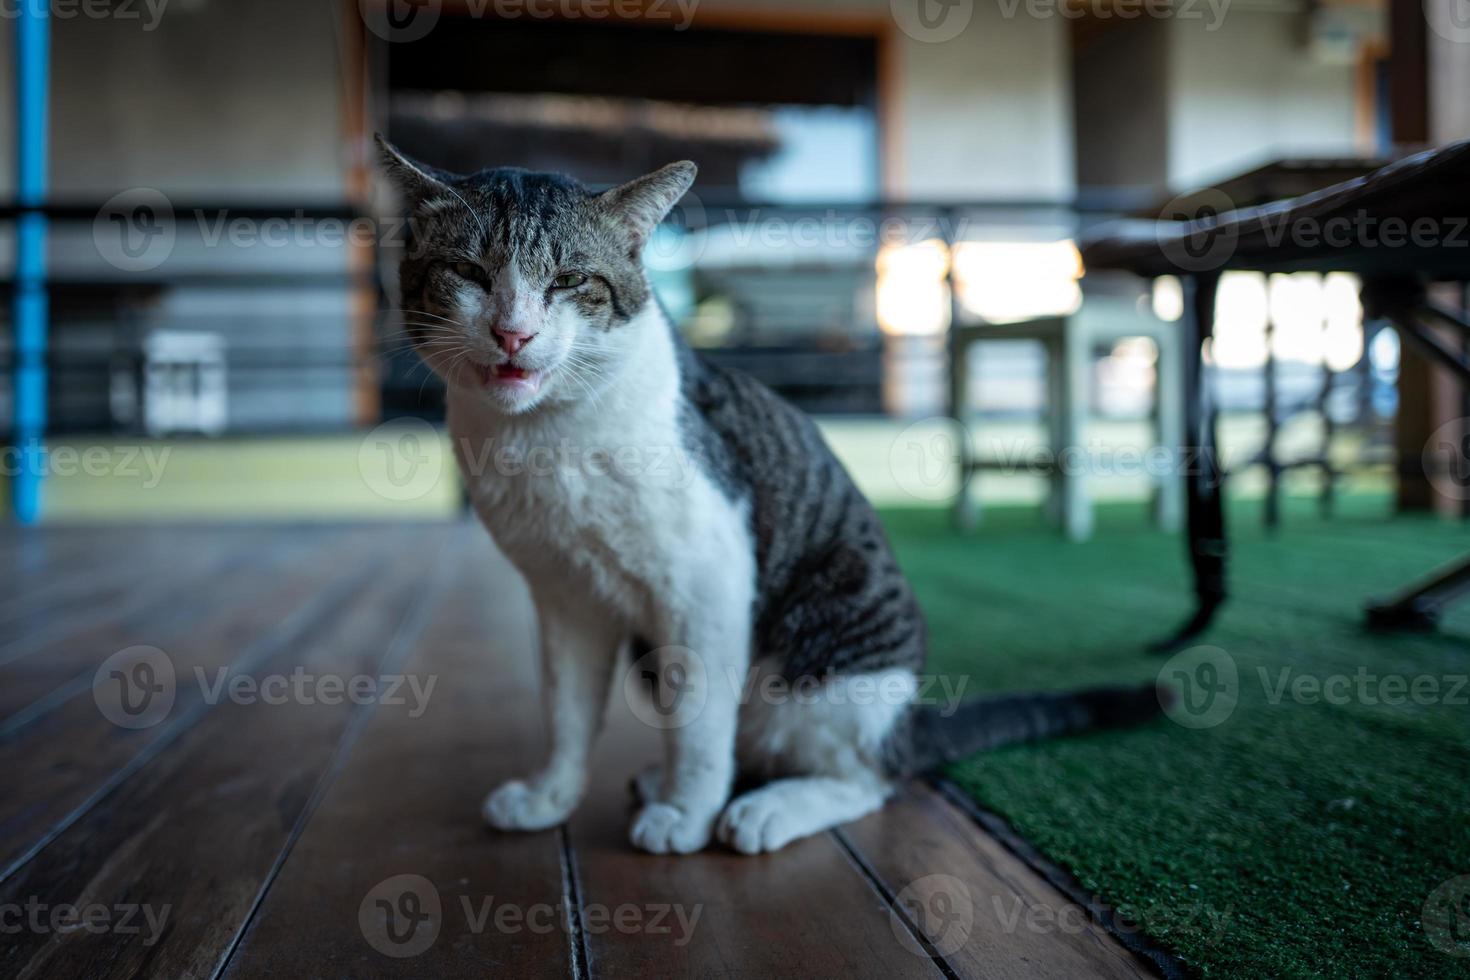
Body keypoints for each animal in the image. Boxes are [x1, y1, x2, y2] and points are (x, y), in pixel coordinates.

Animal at [379, 134, 1170, 852]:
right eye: (468, 271)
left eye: (570, 281)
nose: (513, 333)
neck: (545, 436)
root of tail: (904, 720)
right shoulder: (565, 596)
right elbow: (568, 712)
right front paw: (551, 796)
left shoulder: (707, 581)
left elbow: (699, 725)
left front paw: (686, 815)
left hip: (828, 665)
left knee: (867, 777)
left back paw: (764, 809)